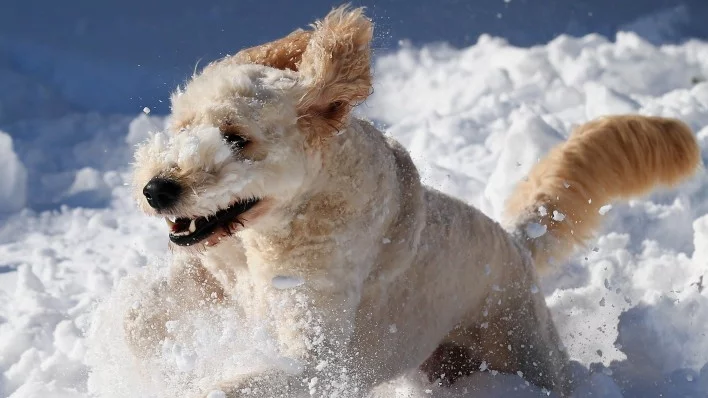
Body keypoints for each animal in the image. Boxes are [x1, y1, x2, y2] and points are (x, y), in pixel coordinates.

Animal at [124, 4, 700, 396]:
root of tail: (518, 245)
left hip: (527, 352)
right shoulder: (215, 275)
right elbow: (137, 315)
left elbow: (256, 380)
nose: (156, 190)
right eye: (182, 124)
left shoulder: (317, 349)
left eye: (237, 137)